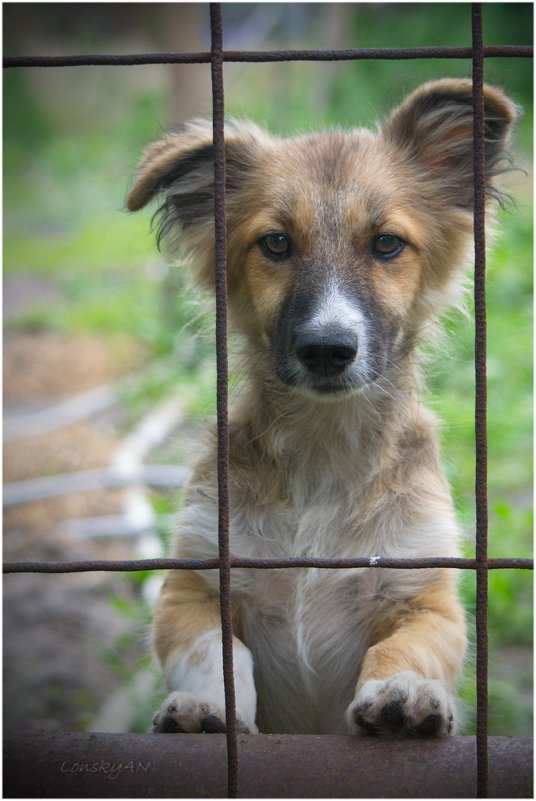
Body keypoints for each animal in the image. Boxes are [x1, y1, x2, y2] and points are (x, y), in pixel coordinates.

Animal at [127, 78, 516, 736]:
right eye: (276, 243)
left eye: (387, 243)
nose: (327, 350)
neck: (323, 451)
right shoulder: (194, 585)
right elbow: (217, 652)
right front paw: (207, 708)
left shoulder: (426, 594)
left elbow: (405, 647)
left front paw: (404, 694)